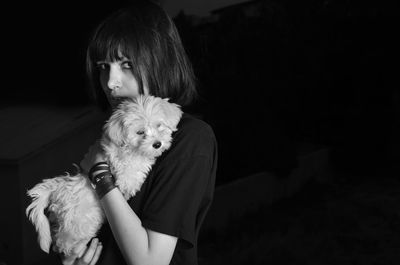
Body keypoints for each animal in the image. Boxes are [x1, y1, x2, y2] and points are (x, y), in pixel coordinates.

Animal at [24, 94, 181, 254]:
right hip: (81, 221)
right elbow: (125, 161)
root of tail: (58, 187)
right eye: (140, 132)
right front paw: (129, 181)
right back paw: (77, 250)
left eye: (159, 125)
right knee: (63, 242)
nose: (157, 144)